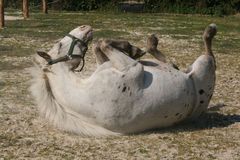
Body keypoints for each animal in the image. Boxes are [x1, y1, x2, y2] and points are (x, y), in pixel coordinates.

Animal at [30, 24, 218, 136]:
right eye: (60, 45)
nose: (84, 27)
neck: (86, 94)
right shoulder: (133, 68)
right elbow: (103, 43)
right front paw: (131, 49)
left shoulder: (106, 64)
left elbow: (98, 45)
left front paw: (132, 49)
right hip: (203, 66)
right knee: (210, 55)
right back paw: (210, 31)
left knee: (173, 64)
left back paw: (151, 44)